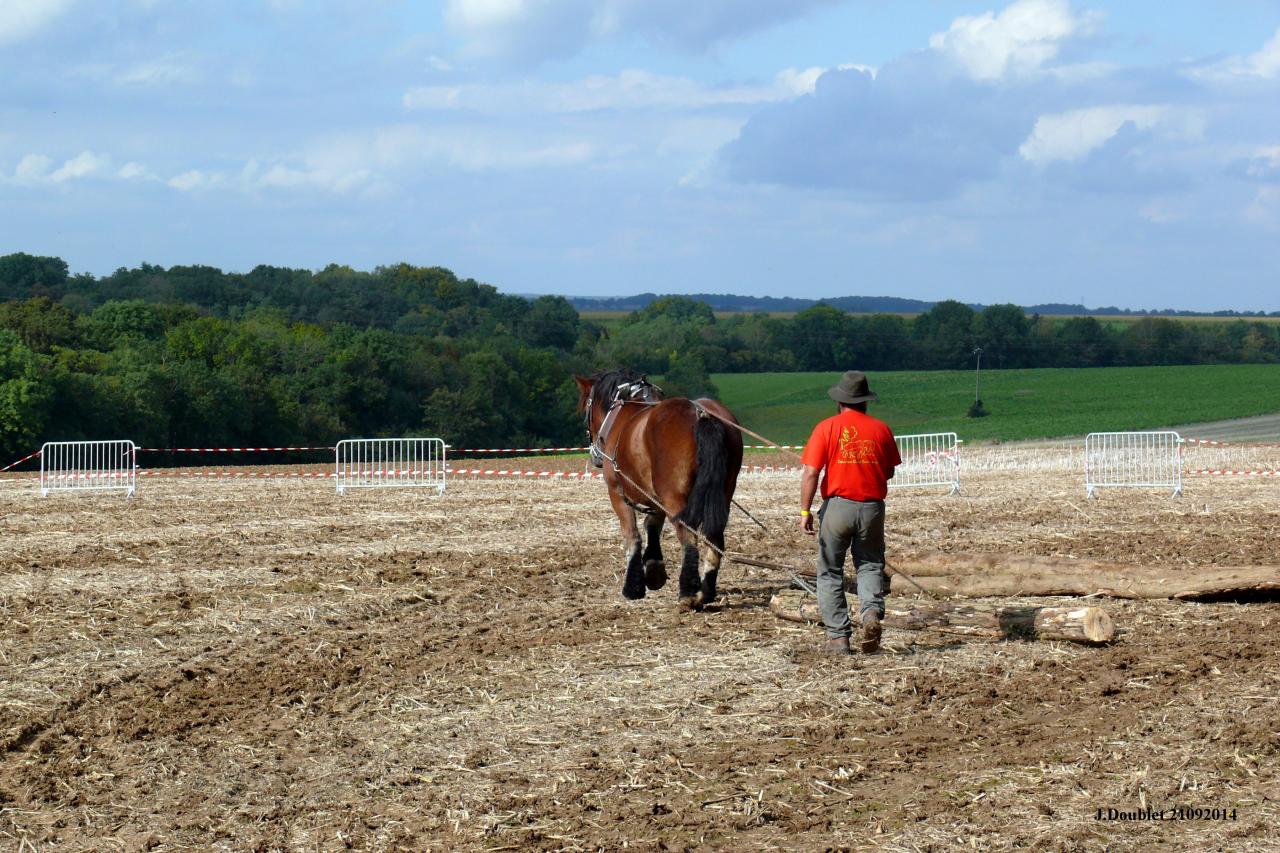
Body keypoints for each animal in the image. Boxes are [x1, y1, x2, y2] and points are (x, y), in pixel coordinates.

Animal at [573, 368, 744, 609]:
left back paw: (688, 592)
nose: (594, 455)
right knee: (714, 537)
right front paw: (654, 569)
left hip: (674, 496)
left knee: (688, 536)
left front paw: (633, 587)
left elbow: (632, 535)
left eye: (586, 409)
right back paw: (707, 591)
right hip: (722, 493)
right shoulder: (654, 496)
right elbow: (651, 524)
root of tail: (701, 414)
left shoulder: (617, 493)